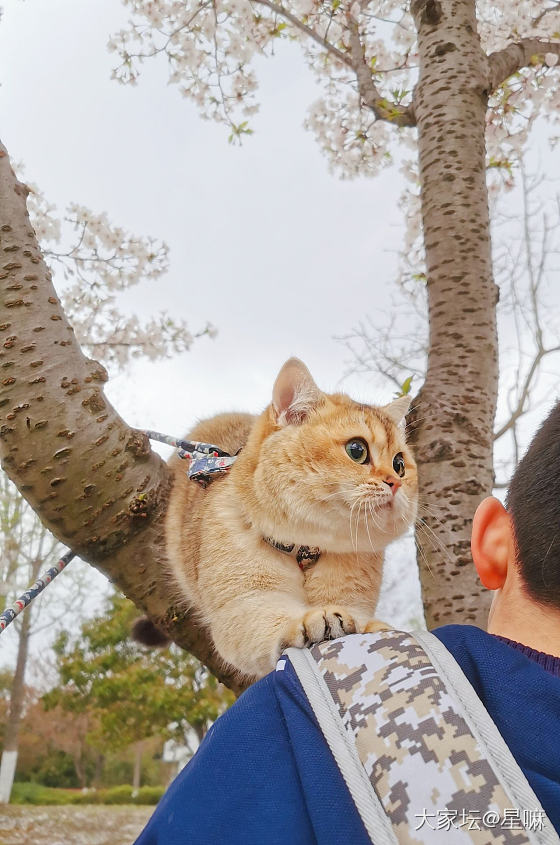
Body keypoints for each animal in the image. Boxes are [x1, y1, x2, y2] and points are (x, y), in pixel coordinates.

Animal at [162, 358, 416, 680]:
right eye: (357, 450)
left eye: (400, 464)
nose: (394, 483)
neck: (306, 548)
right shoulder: (243, 604)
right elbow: (268, 621)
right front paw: (312, 620)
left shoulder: (353, 597)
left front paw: (371, 626)